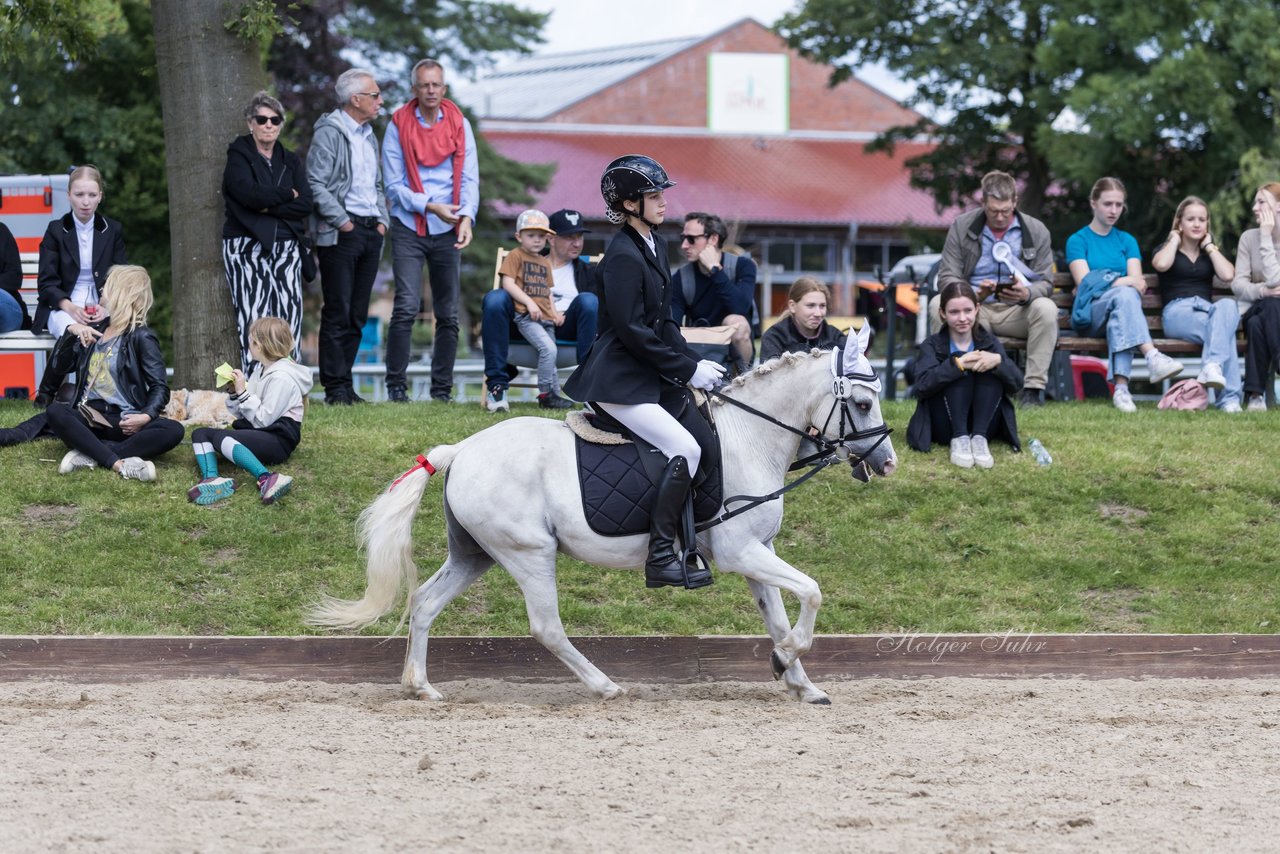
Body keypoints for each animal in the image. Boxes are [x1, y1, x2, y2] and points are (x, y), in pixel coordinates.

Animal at [307, 325, 901, 701]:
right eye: (863, 403)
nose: (888, 462)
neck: (749, 436)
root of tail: (462, 450)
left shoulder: (759, 553)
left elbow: (779, 614)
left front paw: (801, 682)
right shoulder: (741, 553)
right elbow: (812, 592)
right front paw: (785, 662)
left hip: (476, 555)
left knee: (426, 603)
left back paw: (422, 687)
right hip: (529, 553)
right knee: (547, 628)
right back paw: (604, 686)